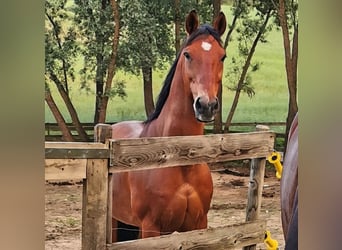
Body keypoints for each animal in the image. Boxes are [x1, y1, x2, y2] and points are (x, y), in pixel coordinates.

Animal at [110, 9, 227, 240]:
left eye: (222, 56)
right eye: (188, 54)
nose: (206, 105)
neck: (181, 163)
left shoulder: (199, 225)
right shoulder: (151, 227)